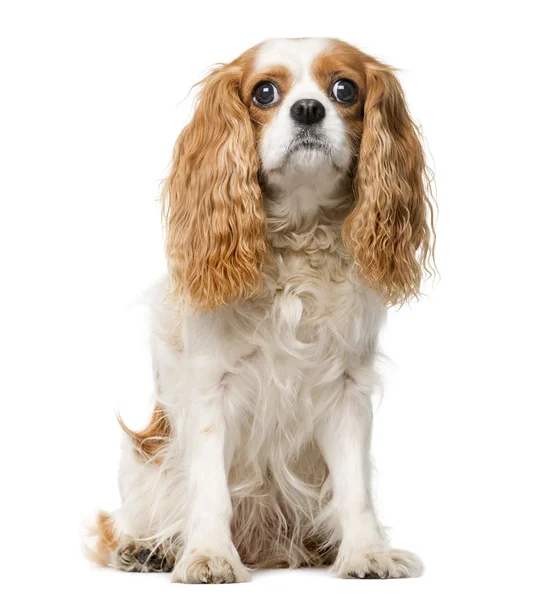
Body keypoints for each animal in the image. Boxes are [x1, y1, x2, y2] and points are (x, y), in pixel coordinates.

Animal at [87, 36, 432, 580]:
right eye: (264, 92)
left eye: (345, 89)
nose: (309, 108)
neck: (298, 238)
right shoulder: (212, 388)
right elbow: (210, 488)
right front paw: (208, 555)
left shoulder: (346, 390)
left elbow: (354, 488)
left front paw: (366, 552)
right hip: (145, 462)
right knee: (123, 523)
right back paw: (147, 549)